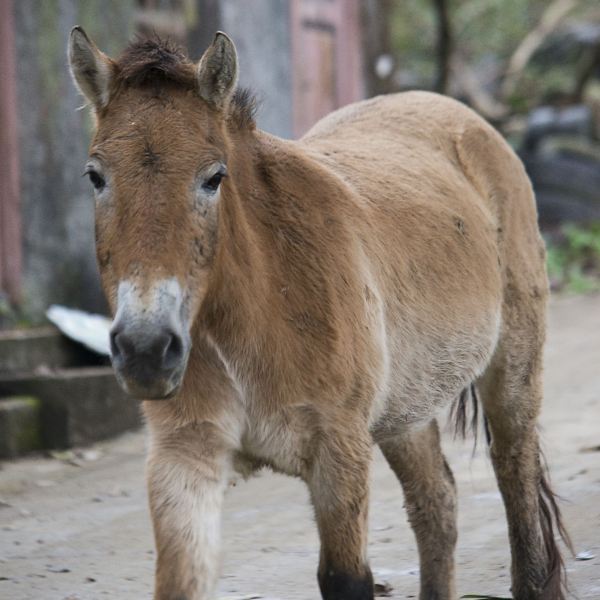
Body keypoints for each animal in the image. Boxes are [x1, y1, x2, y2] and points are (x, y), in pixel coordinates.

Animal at [68, 27, 568, 600]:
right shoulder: (184, 459)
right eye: (95, 176)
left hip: (511, 373)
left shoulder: (339, 453)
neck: (259, 310)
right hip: (407, 408)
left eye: (213, 177)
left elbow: (346, 578)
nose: (147, 350)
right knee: (437, 502)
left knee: (515, 478)